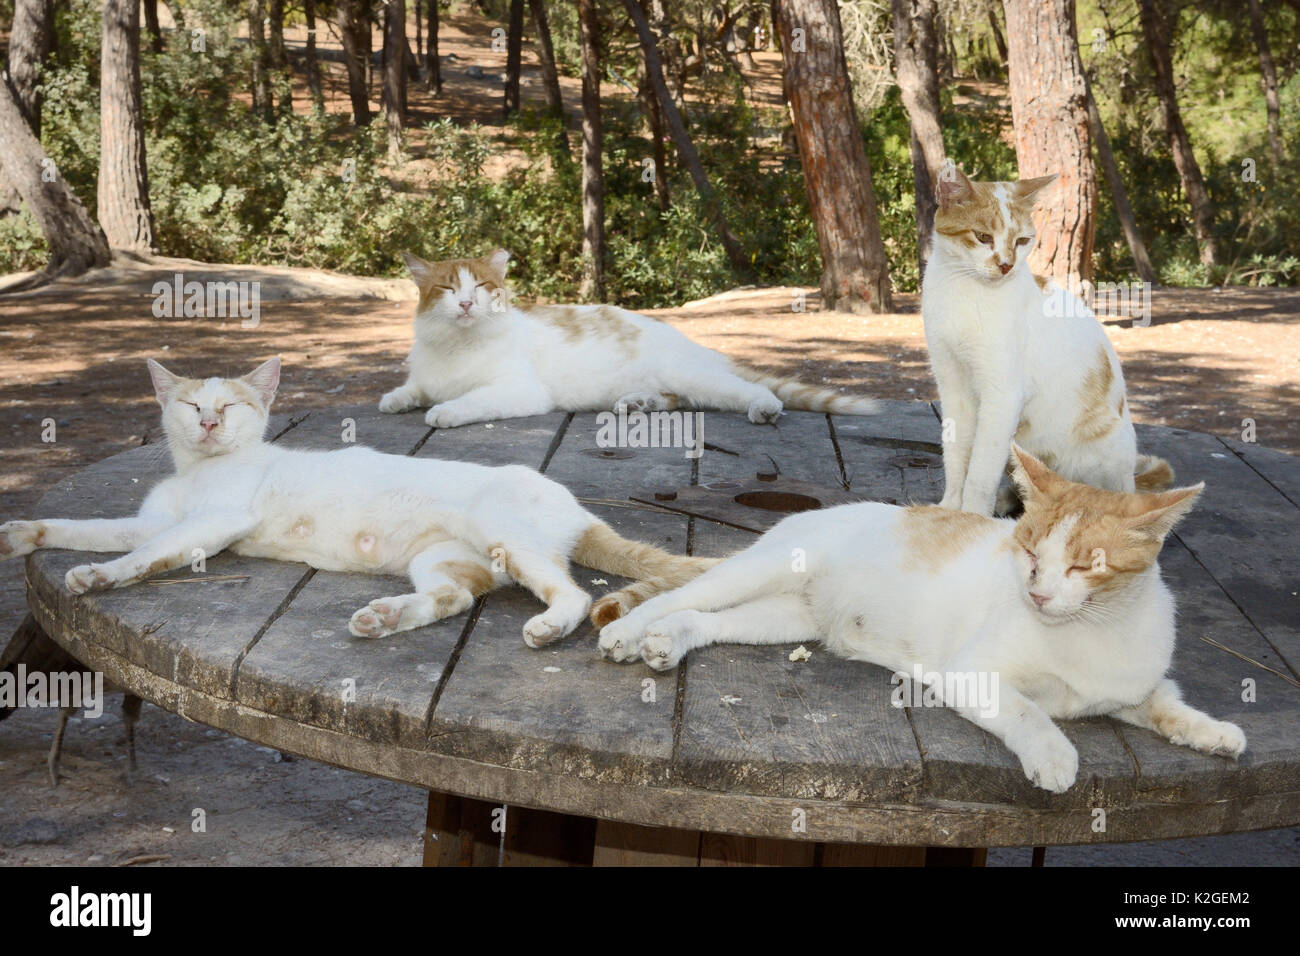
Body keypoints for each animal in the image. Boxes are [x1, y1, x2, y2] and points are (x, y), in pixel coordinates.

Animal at [0, 361, 712, 650]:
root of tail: (578, 506)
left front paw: (98, 577)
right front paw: (21, 533)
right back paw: (383, 618)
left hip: (502, 530)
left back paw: (548, 627)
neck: (197, 470)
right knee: (454, 597)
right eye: (190, 405)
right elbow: (87, 528)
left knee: (574, 593)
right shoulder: (154, 520)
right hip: (446, 560)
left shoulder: (215, 521)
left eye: (229, 407)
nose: (207, 424)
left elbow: (143, 555)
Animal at [379, 248, 883, 429]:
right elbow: (412, 389)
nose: (466, 304)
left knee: (743, 390)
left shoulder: (518, 390)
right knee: (676, 400)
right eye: (448, 290)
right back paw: (637, 403)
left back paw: (764, 407)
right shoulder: (426, 376)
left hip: (698, 377)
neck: (456, 346)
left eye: (481, 287)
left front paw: (444, 412)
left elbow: (468, 401)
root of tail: (692, 344)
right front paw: (396, 399)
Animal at [595, 444, 1242, 796]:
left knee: (700, 616)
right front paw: (1055, 756)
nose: (1037, 593)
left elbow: (1166, 706)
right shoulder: (970, 673)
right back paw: (627, 633)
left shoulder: (1130, 689)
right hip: (760, 570)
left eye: (1086, 565)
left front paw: (1212, 732)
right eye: (1030, 551)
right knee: (680, 595)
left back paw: (668, 642)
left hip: (786, 615)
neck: (1090, 633)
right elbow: (1028, 712)